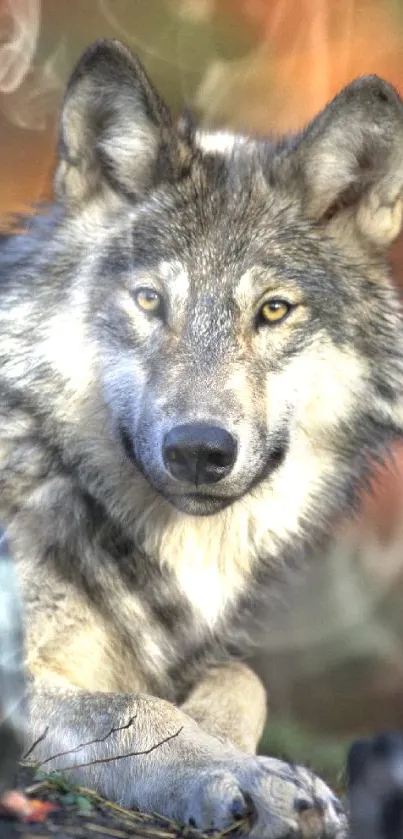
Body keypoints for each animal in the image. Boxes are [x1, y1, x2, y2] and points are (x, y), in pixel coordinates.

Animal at [0, 39, 403, 839]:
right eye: (150, 300)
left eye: (273, 310)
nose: (197, 449)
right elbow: (132, 708)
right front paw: (250, 777)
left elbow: (241, 678)